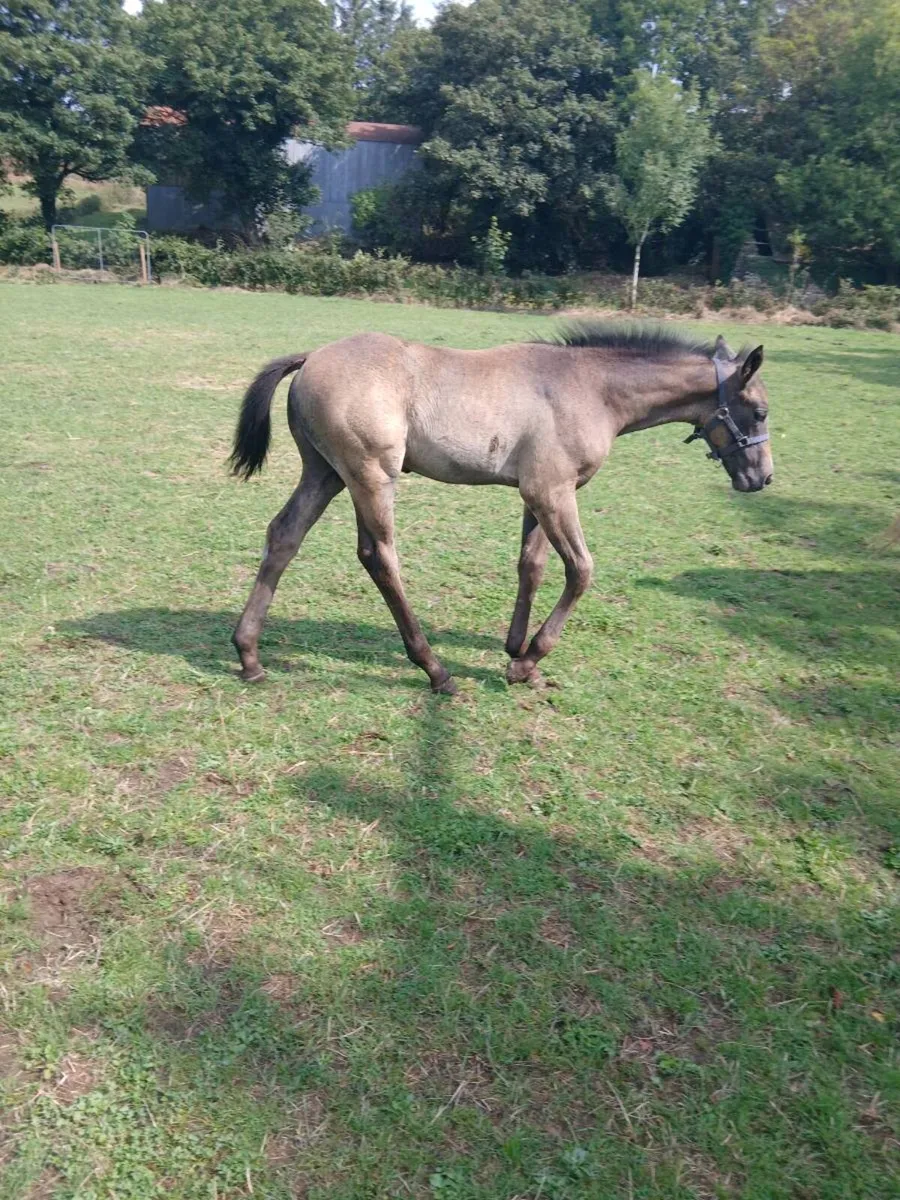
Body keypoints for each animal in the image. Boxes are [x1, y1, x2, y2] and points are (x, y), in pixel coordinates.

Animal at [229, 322, 772, 694]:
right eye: (761, 411)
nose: (762, 478)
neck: (590, 388)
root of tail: (310, 357)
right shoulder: (554, 492)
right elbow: (581, 570)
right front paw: (528, 661)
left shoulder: (537, 493)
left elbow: (531, 566)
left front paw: (516, 649)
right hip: (370, 476)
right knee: (378, 555)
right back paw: (435, 670)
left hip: (324, 473)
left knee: (284, 535)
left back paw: (249, 656)